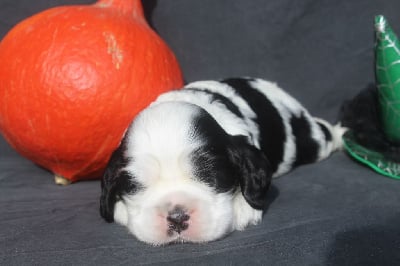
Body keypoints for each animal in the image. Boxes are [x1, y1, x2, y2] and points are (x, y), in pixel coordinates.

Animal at [100, 77, 344, 245]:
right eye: (134, 186)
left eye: (211, 177)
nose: (177, 217)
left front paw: (243, 206)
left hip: (311, 141)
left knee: (324, 133)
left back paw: (340, 133)